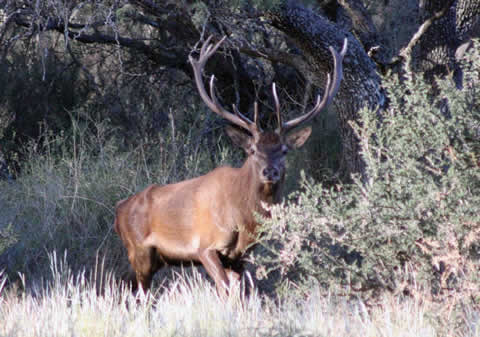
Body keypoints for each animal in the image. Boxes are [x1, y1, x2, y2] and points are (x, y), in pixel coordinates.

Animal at [114, 35, 346, 296]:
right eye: (252, 150)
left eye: (284, 151)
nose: (270, 171)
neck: (244, 219)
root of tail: (118, 210)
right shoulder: (204, 246)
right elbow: (224, 289)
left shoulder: (239, 256)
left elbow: (238, 292)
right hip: (139, 250)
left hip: (150, 259)